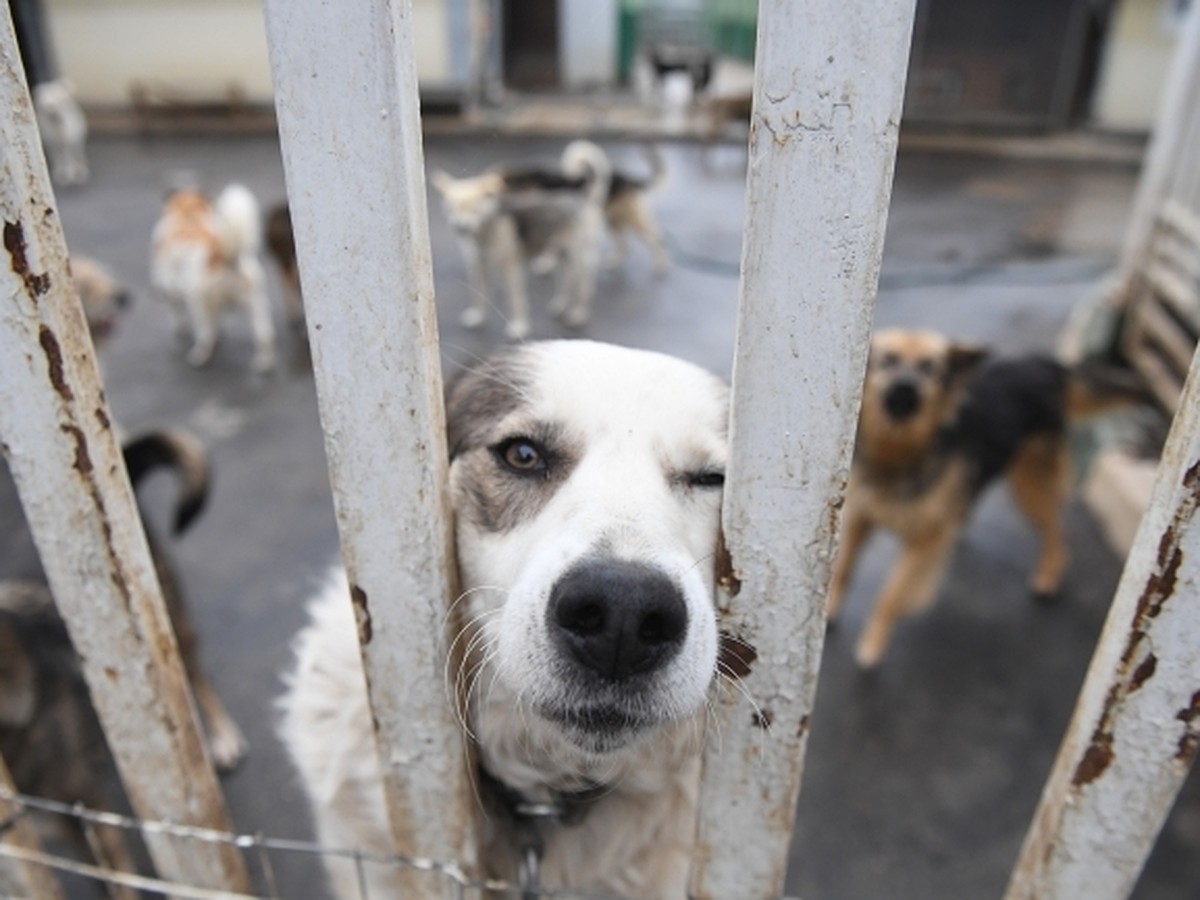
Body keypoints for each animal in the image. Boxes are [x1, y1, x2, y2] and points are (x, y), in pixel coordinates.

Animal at [148, 183, 274, 374]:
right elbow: (217, 323)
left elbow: (178, 315)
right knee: (264, 335)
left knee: (205, 334)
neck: (189, 216)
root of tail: (224, 258)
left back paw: (199, 356)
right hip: (255, 304)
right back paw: (264, 363)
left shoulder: (172, 293)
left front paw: (180, 330)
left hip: (198, 305)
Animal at [825, 331, 1142, 672]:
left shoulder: (925, 543)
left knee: (1055, 529)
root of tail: (1049, 366)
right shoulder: (860, 518)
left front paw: (873, 642)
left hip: (1029, 484)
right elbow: (842, 569)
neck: (900, 449)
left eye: (930, 368)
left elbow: (891, 594)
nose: (905, 388)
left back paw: (1049, 575)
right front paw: (828, 611)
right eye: (888, 360)